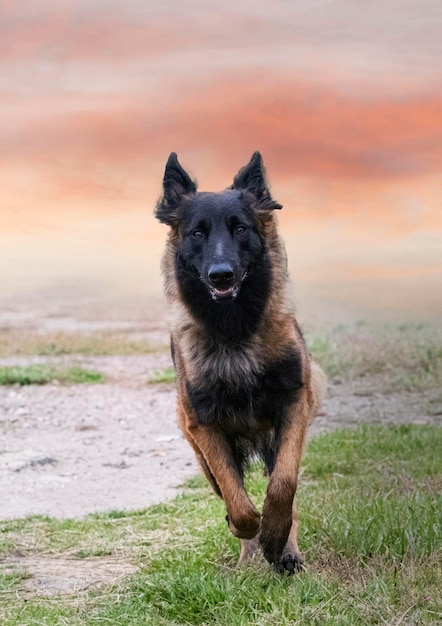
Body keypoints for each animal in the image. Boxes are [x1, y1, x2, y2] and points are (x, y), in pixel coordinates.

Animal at [155, 150, 324, 572]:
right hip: (200, 453)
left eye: (241, 229)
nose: (221, 275)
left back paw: (286, 551)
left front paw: (277, 537)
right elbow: (239, 502)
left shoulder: (294, 404)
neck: (234, 331)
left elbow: (283, 485)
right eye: (197, 233)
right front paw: (248, 531)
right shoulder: (206, 427)